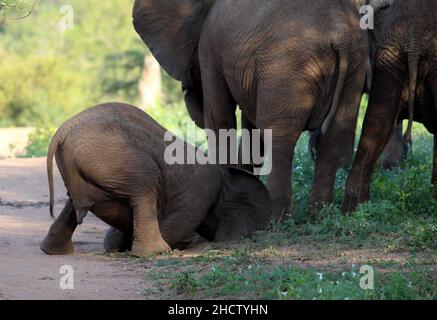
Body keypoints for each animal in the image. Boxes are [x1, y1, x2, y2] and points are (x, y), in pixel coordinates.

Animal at [41, 102, 272, 258]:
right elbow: (178, 222)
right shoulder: (201, 193)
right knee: (144, 188)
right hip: (118, 159)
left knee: (72, 203)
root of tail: (61, 131)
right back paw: (156, 252)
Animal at [134, 0, 368, 220]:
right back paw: (319, 214)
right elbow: (251, 130)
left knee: (279, 135)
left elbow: (219, 119)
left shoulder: (210, 44)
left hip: (288, 65)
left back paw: (274, 221)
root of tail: (339, 36)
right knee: (335, 133)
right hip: (354, 66)